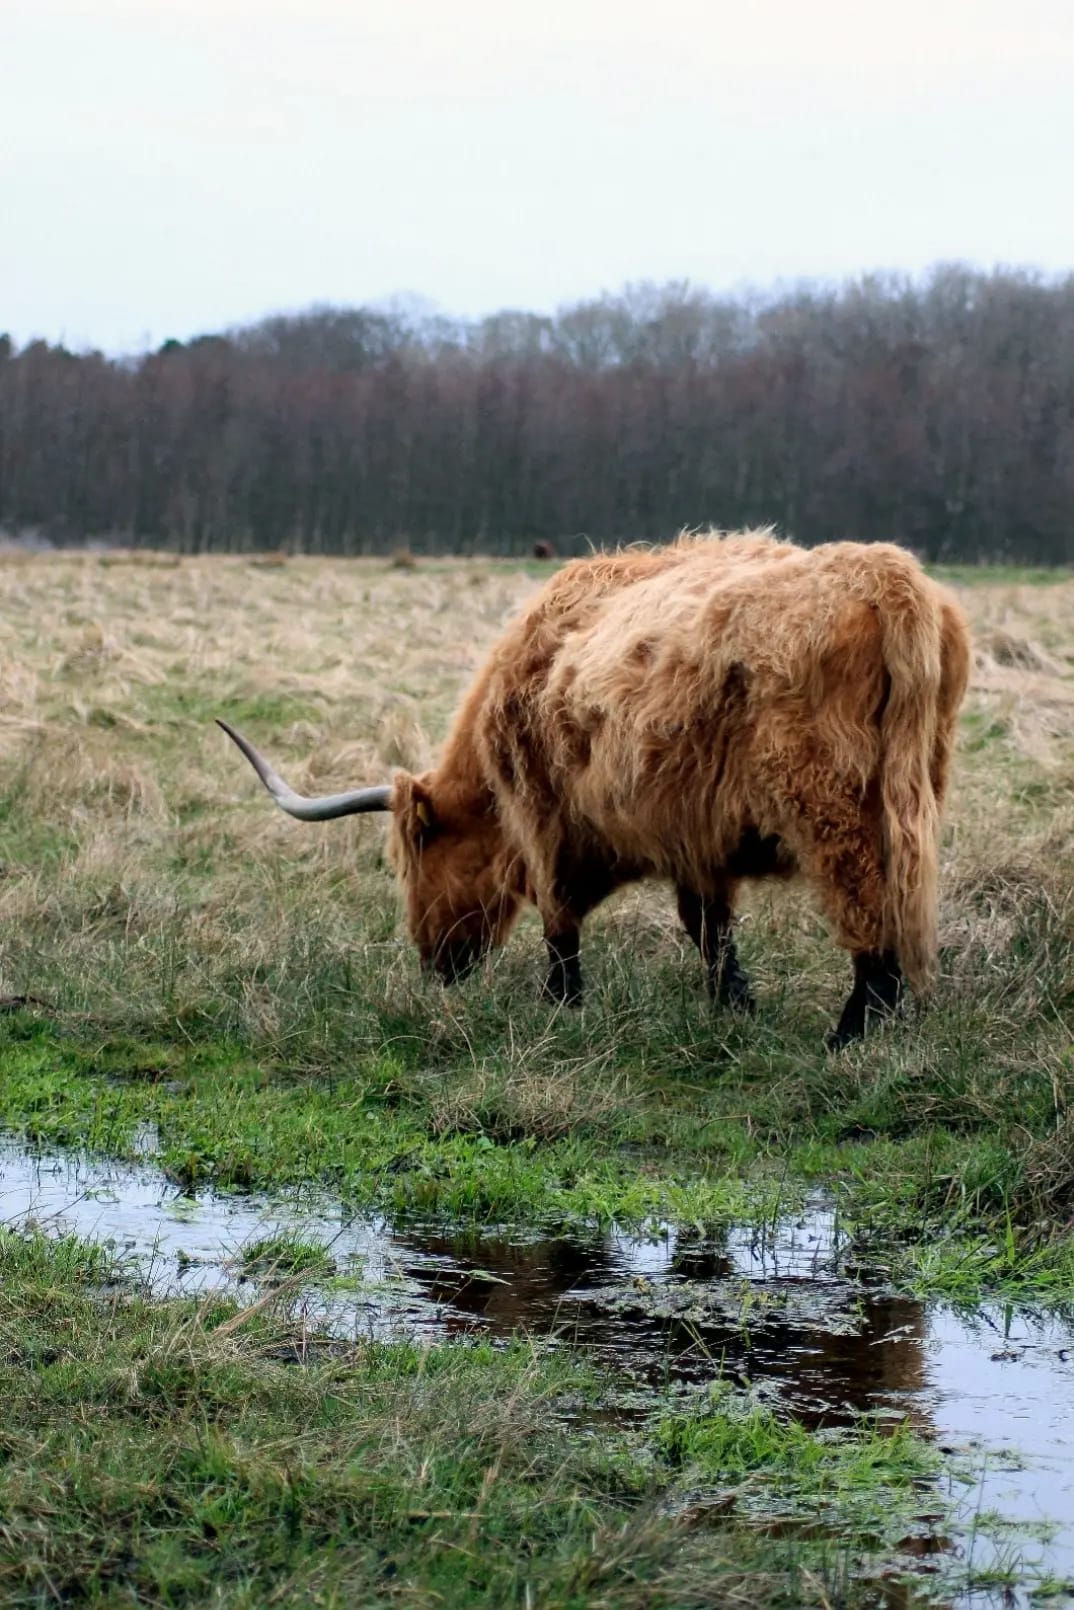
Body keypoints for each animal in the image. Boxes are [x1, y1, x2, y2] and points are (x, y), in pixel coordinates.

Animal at [218, 529, 971, 1048]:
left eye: (415, 858)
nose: (434, 968)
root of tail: (885, 573)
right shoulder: (695, 834)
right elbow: (709, 927)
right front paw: (733, 1005)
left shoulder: (543, 816)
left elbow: (560, 919)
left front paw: (562, 1002)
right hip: (915, 791)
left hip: (829, 803)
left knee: (869, 916)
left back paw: (848, 1036)